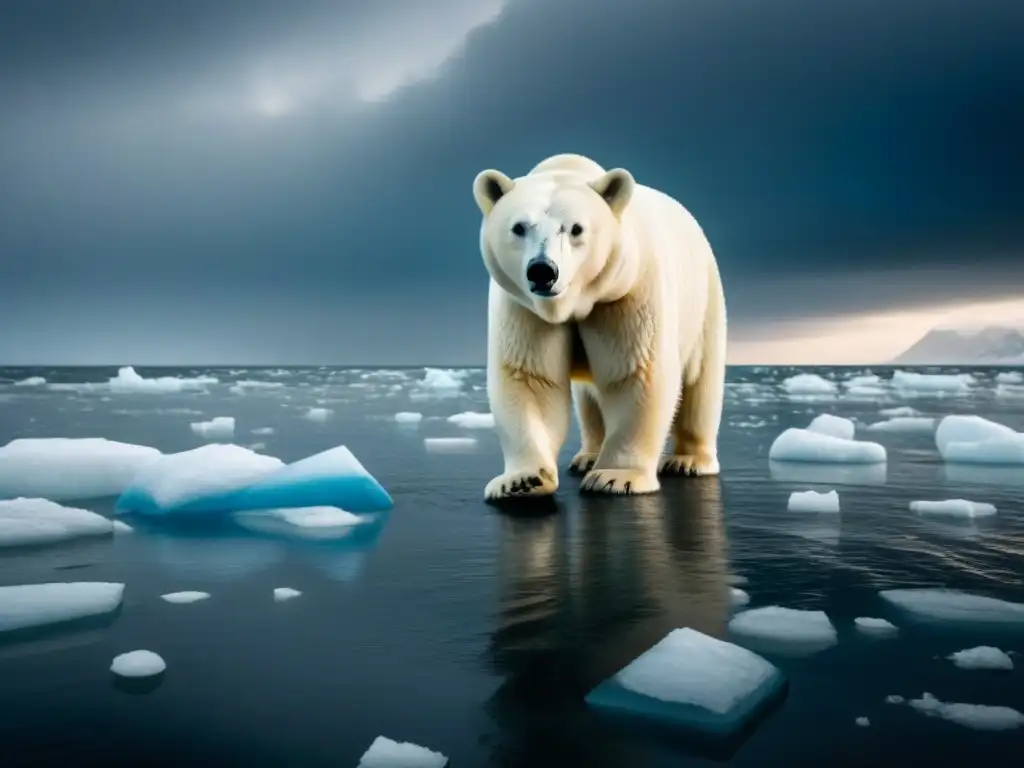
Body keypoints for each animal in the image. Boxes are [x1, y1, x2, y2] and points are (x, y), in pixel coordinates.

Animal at [471, 154, 729, 505]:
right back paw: (587, 455)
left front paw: (615, 478)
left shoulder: (627, 294)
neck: (578, 301)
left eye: (576, 228)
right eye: (519, 227)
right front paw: (521, 481)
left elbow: (635, 373)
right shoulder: (524, 309)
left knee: (700, 382)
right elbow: (531, 379)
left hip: (704, 300)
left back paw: (687, 460)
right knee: (589, 399)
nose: (543, 271)